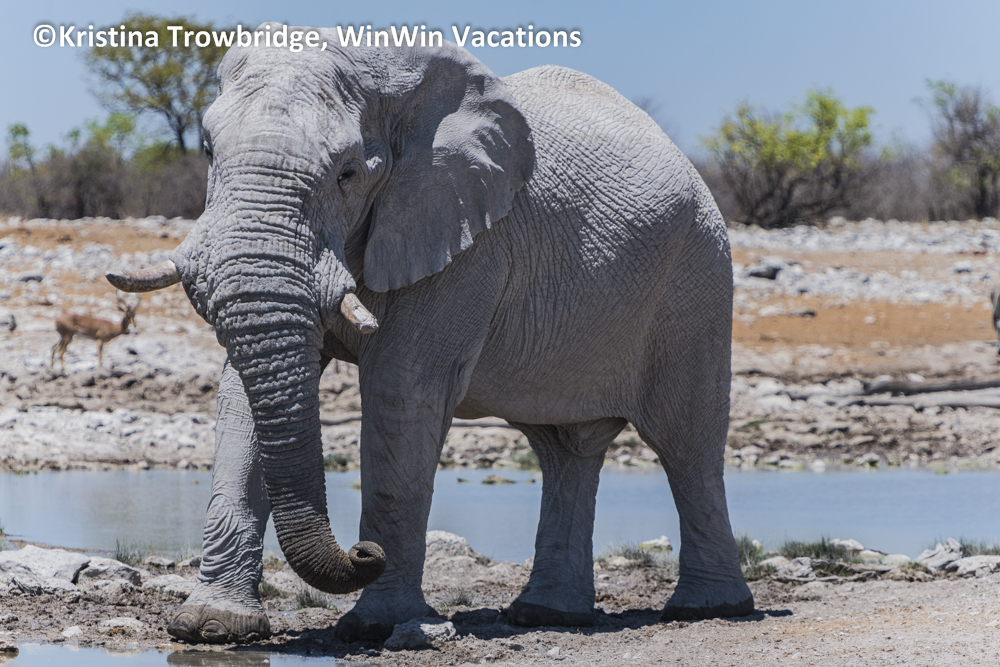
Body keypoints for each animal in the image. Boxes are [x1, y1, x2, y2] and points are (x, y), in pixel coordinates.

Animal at [107, 24, 753, 643]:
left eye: (347, 174)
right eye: (209, 151)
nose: (361, 553)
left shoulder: (468, 243)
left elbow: (401, 388)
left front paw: (378, 627)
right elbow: (242, 396)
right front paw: (210, 627)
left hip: (696, 279)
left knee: (685, 441)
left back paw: (710, 609)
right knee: (564, 448)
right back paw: (548, 615)